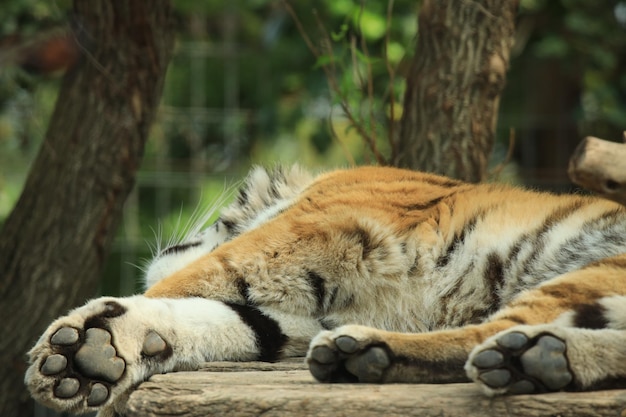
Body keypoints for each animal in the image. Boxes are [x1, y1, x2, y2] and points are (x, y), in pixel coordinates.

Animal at [25, 164, 626, 414]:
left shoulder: (318, 222)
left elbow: (191, 278)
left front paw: (80, 347)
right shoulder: (297, 320)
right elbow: (228, 321)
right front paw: (96, 354)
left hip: (594, 266)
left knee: (492, 331)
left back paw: (368, 352)